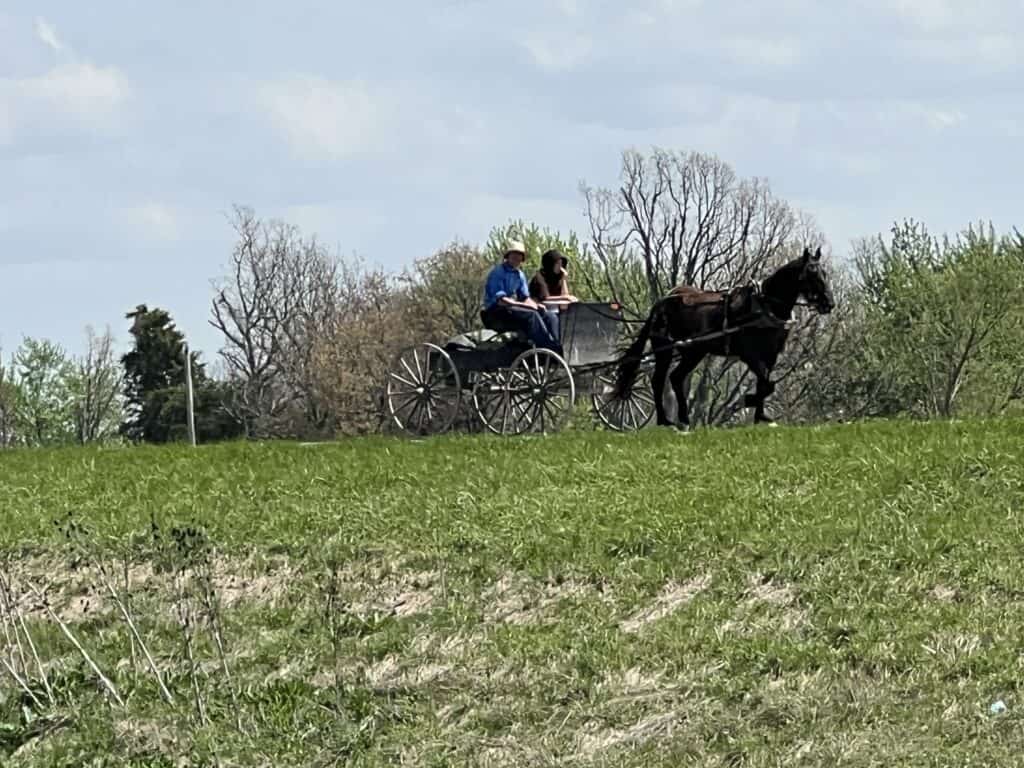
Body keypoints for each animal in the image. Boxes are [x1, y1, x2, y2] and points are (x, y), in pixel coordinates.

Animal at [611, 246, 835, 429]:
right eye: (811, 274)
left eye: (824, 273)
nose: (829, 303)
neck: (764, 305)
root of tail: (662, 301)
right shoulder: (750, 355)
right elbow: (765, 382)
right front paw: (751, 404)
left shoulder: (771, 355)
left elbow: (765, 383)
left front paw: (760, 415)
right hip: (664, 348)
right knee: (658, 380)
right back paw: (664, 420)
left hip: (693, 351)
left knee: (675, 377)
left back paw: (684, 419)